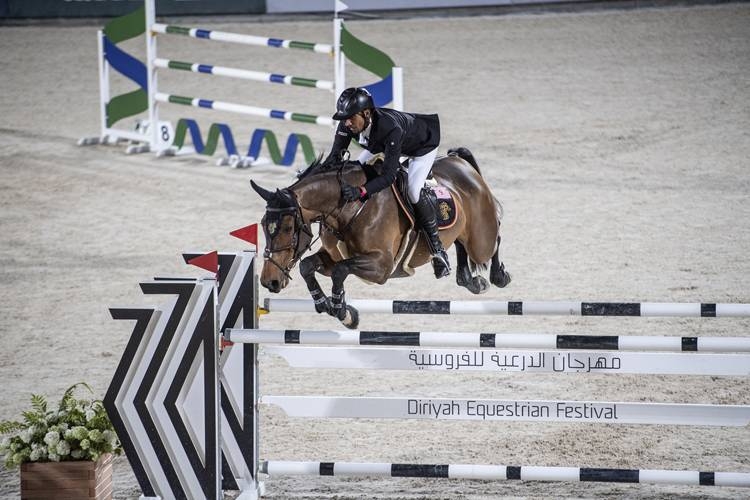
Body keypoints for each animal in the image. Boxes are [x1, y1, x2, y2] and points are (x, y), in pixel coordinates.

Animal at [250, 146, 516, 330]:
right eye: (263, 225)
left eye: (287, 228)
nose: (269, 281)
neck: (348, 207)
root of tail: (460, 162)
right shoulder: (332, 257)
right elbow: (308, 266)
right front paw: (326, 304)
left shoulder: (381, 267)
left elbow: (341, 271)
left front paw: (342, 311)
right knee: (461, 247)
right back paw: (466, 278)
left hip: (480, 238)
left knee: (494, 239)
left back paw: (498, 275)